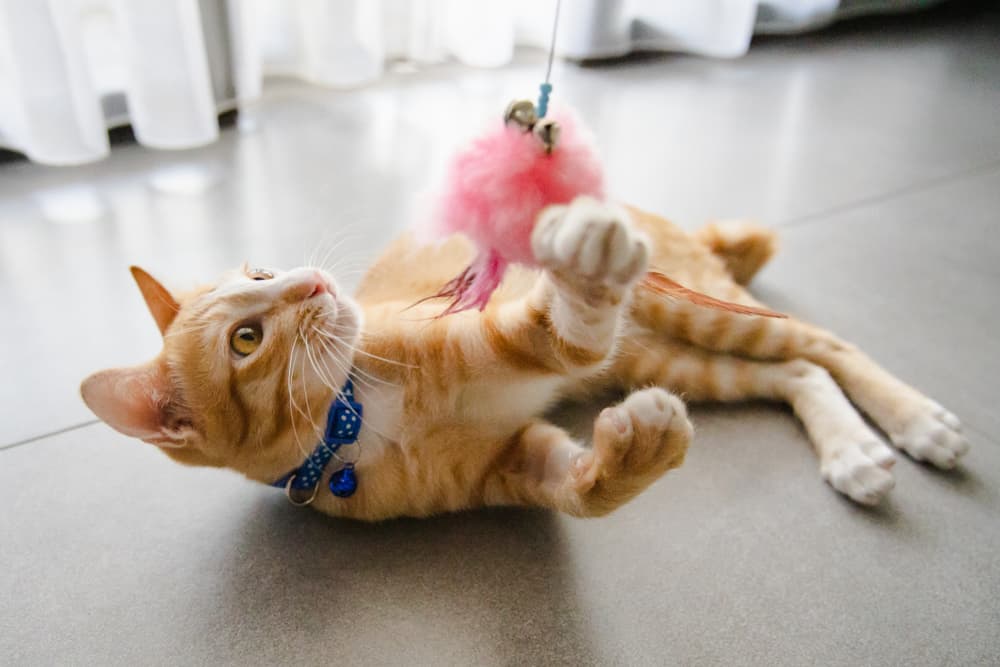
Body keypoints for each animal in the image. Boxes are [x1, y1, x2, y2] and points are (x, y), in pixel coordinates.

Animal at [80, 198, 968, 520]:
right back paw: (853, 451)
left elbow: (562, 323)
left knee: (826, 344)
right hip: (675, 362)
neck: (361, 418)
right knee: (795, 372)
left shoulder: (511, 332)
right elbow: (587, 491)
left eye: (261, 273)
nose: (313, 280)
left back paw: (915, 420)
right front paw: (643, 449)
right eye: (246, 339)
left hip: (695, 310)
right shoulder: (521, 463)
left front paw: (583, 256)